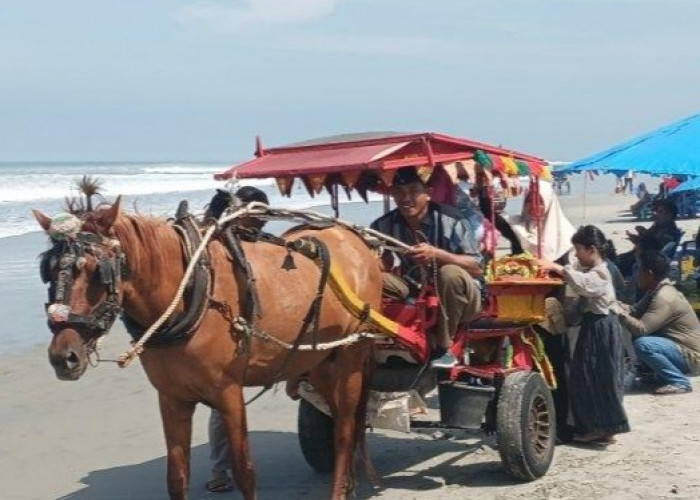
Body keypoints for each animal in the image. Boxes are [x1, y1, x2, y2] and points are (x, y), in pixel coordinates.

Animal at [32, 199, 382, 500]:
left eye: (97, 271)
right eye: (48, 271)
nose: (63, 357)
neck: (189, 294)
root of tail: (356, 240)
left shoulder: (228, 393)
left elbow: (245, 471)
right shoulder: (172, 398)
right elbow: (176, 476)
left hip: (352, 355)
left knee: (345, 431)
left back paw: (339, 490)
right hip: (320, 360)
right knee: (342, 420)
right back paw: (349, 484)